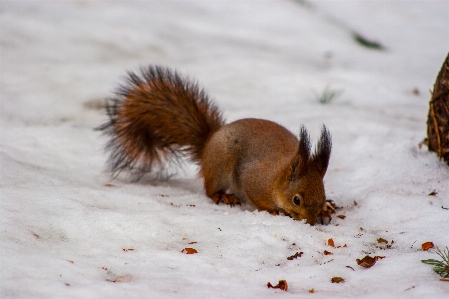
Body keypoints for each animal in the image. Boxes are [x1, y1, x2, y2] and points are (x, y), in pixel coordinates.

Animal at [100, 65, 332, 225]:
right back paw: (222, 195)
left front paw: (326, 208)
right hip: (220, 166)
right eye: (296, 200)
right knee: (209, 189)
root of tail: (208, 144)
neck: (276, 179)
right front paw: (274, 211)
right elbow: (257, 199)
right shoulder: (253, 179)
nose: (310, 223)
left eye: (321, 195)